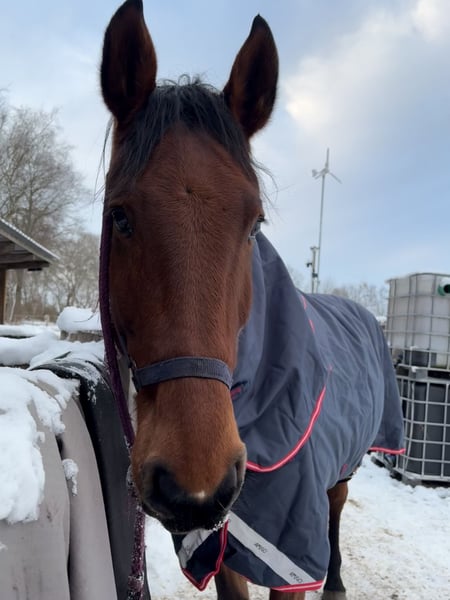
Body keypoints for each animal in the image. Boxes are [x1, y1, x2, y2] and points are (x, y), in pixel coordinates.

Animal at [99, 2, 405, 599]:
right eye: (119, 216)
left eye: (254, 224)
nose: (194, 484)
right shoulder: (225, 544)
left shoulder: (290, 557)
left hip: (345, 466)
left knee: (337, 506)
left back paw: (337, 581)